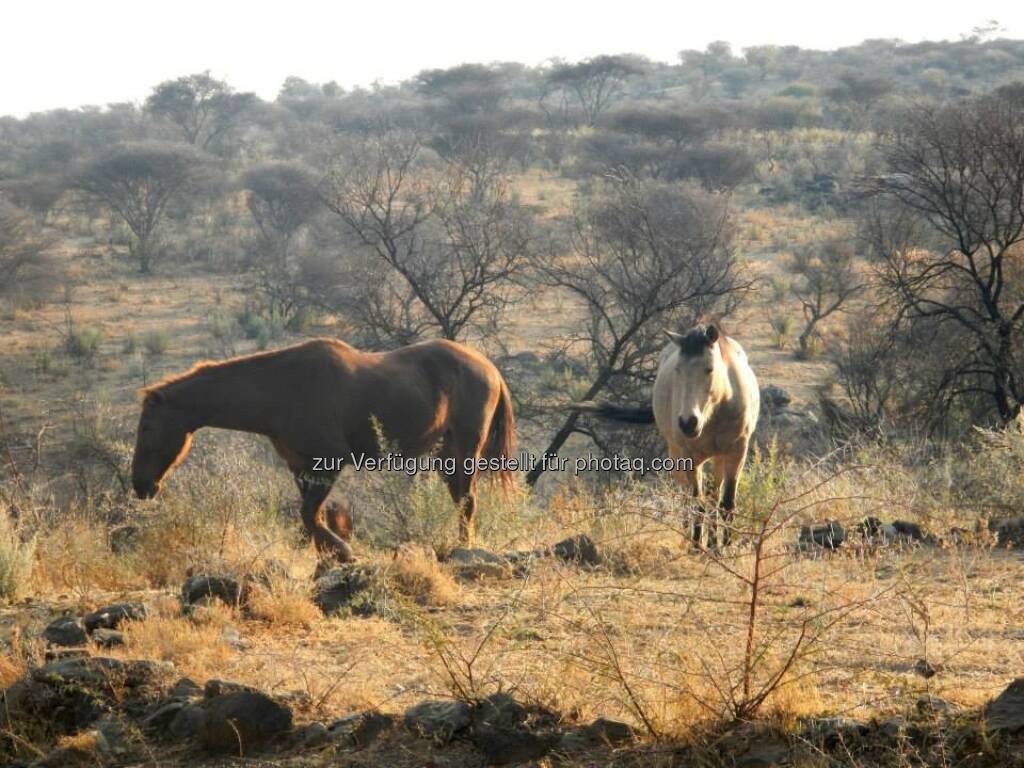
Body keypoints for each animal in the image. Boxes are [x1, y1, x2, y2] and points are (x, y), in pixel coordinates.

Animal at [132, 339, 516, 561]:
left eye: (147, 426)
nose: (140, 485)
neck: (282, 389)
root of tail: (490, 369)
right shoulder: (300, 467)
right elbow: (308, 518)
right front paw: (327, 554)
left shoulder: (326, 464)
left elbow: (309, 515)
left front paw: (343, 551)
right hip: (445, 453)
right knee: (460, 497)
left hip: (464, 448)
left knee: (467, 499)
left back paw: (464, 548)